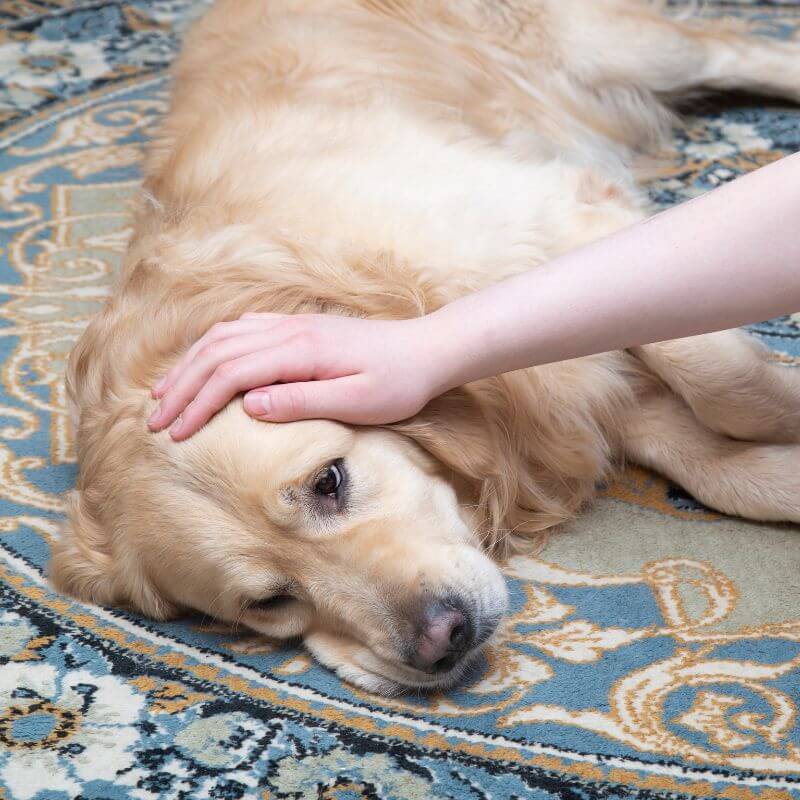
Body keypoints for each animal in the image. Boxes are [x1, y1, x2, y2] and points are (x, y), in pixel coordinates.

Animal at [48, 0, 800, 692]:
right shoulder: (575, 395)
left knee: (740, 47)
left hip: (611, 49)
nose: (443, 639)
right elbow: (717, 464)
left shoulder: (564, 217)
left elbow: (720, 382)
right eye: (268, 601)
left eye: (329, 482)